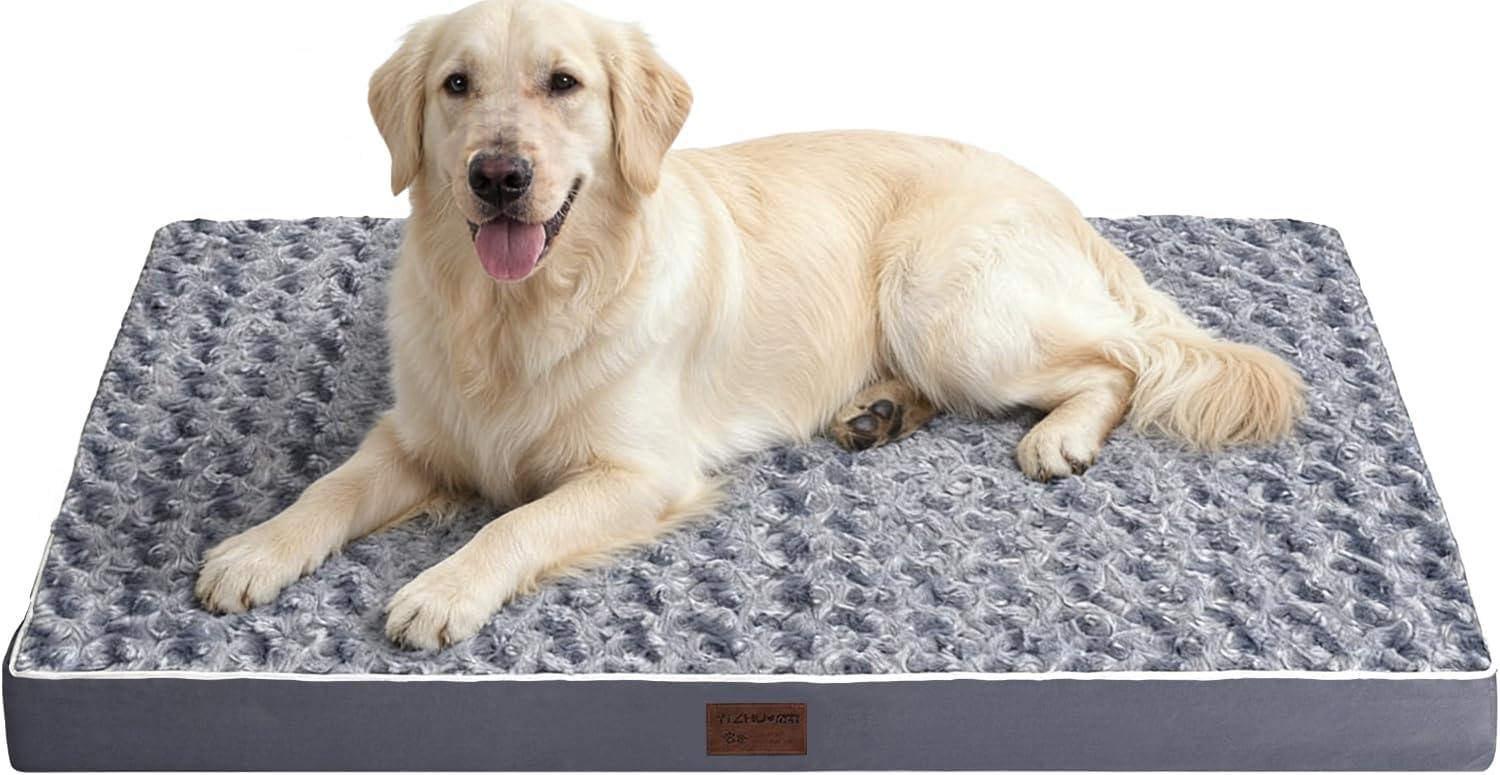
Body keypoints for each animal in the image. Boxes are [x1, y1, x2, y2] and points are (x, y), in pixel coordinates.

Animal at [196, 0, 1304, 650]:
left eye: (565, 84)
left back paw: (1060, 435)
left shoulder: (639, 473)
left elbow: (518, 520)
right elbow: (330, 488)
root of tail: (1062, 199)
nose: (499, 175)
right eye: (455, 85)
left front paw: (444, 587)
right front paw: (253, 550)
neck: (519, 311)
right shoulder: (417, 436)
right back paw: (877, 411)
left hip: (944, 304)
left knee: (1121, 358)